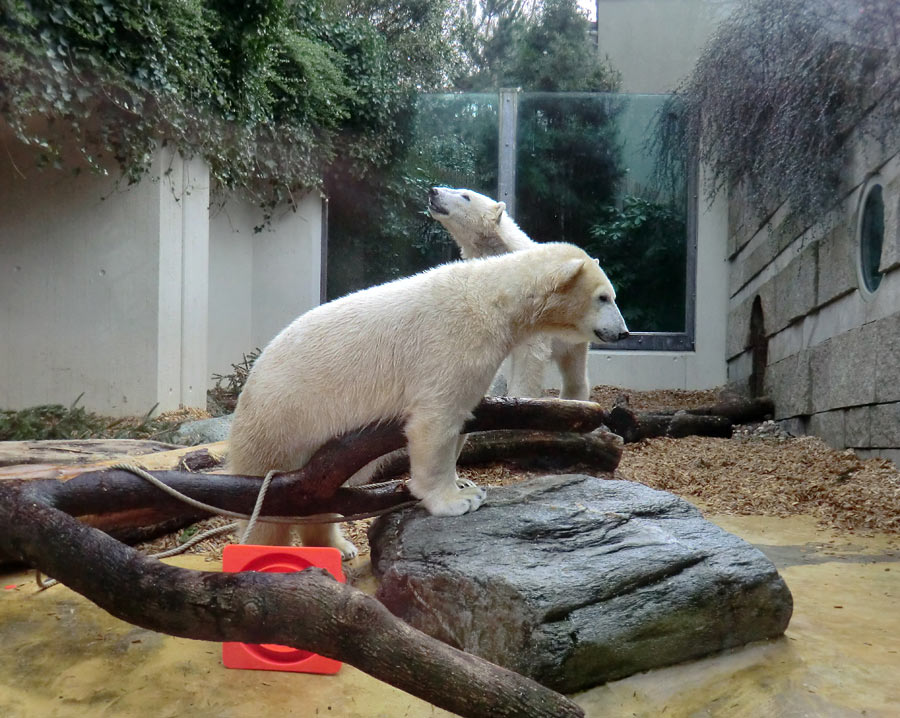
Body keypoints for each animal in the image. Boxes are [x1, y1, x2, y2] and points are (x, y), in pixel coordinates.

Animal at [229, 245, 628, 560]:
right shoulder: (452, 343)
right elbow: (435, 420)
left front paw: (463, 484)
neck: (493, 298)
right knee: (268, 515)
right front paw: (455, 501)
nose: (623, 332)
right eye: (603, 297)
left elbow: (462, 418)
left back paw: (339, 546)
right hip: (278, 427)